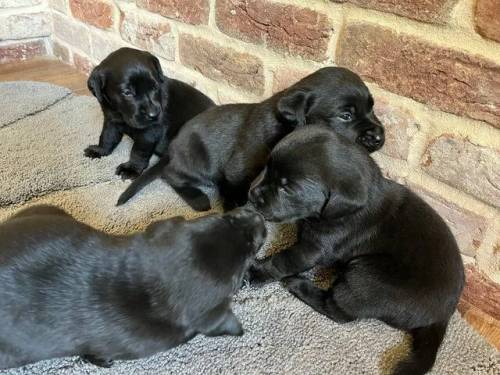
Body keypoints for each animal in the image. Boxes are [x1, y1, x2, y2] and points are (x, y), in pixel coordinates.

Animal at [83, 47, 215, 180]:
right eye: (127, 92)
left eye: (155, 86)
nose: (154, 114)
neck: (121, 114)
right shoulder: (111, 120)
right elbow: (107, 136)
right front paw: (99, 150)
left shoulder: (149, 132)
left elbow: (138, 151)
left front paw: (131, 168)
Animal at [115, 67, 384, 212]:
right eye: (345, 115)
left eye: (372, 108)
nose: (379, 137)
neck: (284, 127)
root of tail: (173, 148)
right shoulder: (237, 171)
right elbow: (236, 192)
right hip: (197, 162)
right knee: (171, 175)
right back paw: (198, 199)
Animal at [249, 126, 464, 375]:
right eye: (267, 167)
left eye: (287, 188)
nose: (251, 194)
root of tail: (443, 317)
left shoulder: (317, 247)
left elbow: (284, 260)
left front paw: (255, 272)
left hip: (365, 276)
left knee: (338, 311)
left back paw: (298, 285)